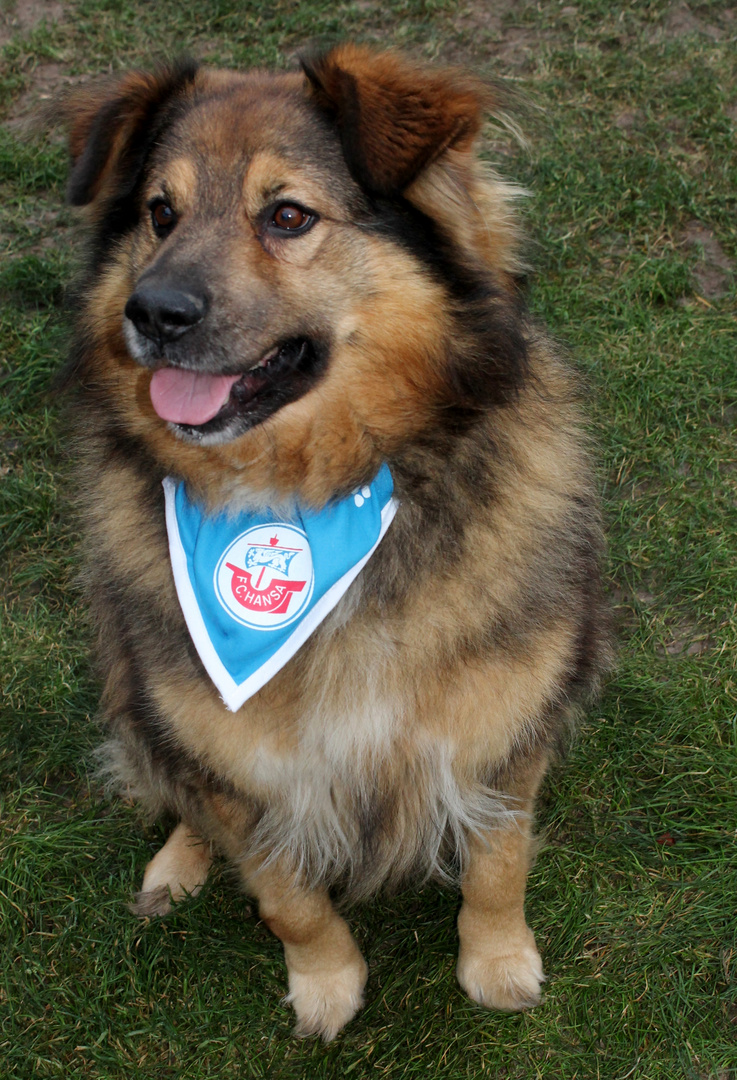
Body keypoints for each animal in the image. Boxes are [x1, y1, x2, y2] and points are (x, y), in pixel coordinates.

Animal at [60, 46, 609, 1041]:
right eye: (160, 213)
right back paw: (175, 864)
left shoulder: (501, 730)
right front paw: (325, 984)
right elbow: (286, 896)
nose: (150, 311)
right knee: (175, 781)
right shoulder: (244, 767)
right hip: (135, 676)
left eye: (287, 215)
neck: (313, 493)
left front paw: (496, 962)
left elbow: (498, 862)